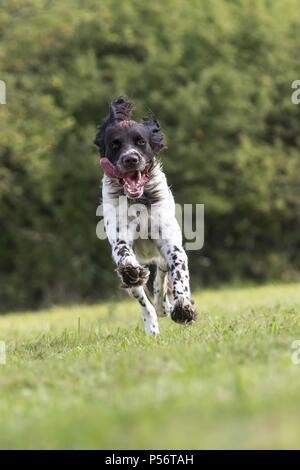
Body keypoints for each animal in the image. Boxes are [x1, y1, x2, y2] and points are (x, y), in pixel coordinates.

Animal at [94, 96, 197, 334]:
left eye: (141, 142)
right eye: (115, 144)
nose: (130, 159)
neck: (139, 201)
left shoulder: (172, 245)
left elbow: (177, 273)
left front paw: (182, 307)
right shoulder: (120, 239)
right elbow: (125, 257)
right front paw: (132, 270)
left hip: (160, 254)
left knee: (161, 276)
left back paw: (165, 305)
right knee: (143, 300)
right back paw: (152, 325)